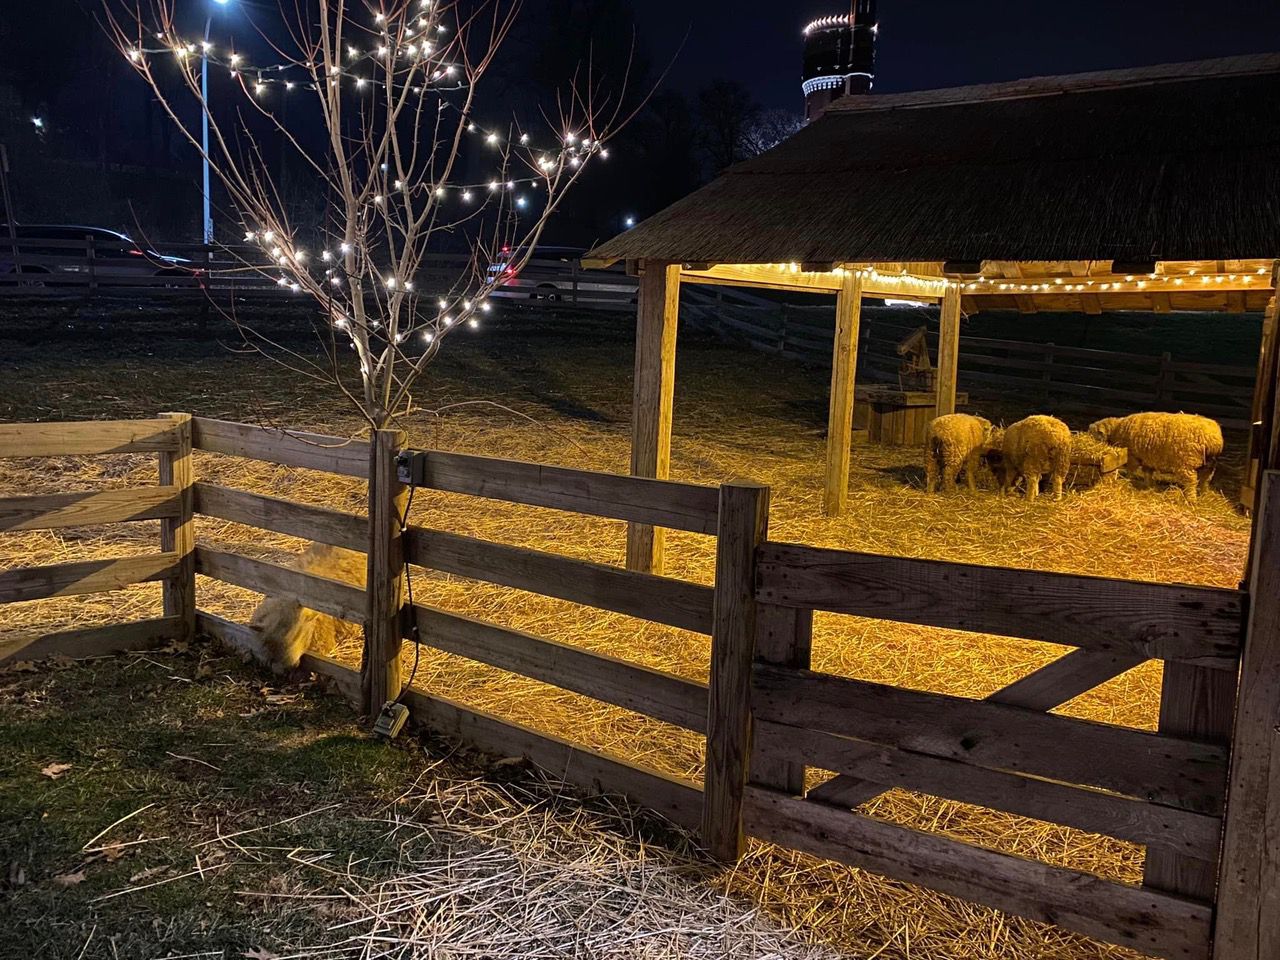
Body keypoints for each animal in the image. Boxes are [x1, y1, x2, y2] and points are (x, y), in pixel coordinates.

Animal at [1085, 414, 1223, 504]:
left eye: (1093, 434)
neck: (1117, 429)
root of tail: (1213, 439)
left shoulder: (1133, 456)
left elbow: (1131, 470)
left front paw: (1127, 480)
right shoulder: (1147, 457)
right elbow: (1147, 473)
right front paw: (1149, 485)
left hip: (1187, 462)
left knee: (1191, 482)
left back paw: (1191, 500)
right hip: (1209, 464)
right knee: (1205, 479)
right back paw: (1204, 494)